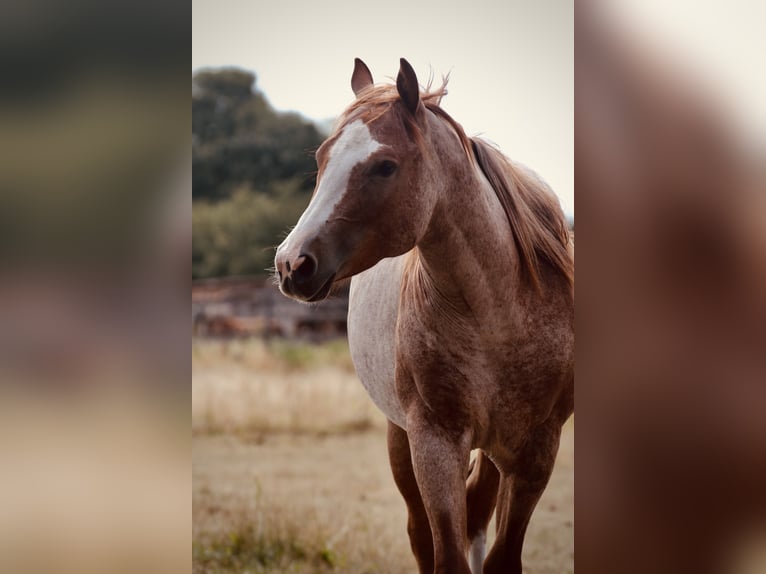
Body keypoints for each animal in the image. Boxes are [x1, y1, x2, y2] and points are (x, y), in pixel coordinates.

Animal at [274, 58, 573, 574]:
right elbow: (445, 554)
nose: (292, 264)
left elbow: (501, 557)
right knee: (422, 532)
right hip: (402, 437)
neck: (499, 313)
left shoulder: (537, 449)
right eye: (322, 159)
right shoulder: (434, 441)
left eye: (385, 166)